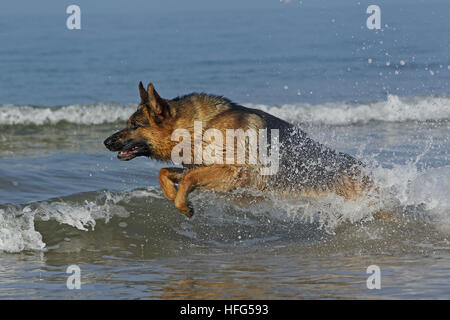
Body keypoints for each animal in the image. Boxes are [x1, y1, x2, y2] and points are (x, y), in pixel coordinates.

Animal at [104, 81, 386, 219]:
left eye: (133, 125)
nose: (106, 142)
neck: (201, 127)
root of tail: (366, 173)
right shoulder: (204, 167)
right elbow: (165, 172)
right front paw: (172, 195)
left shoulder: (234, 172)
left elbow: (189, 178)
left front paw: (182, 205)